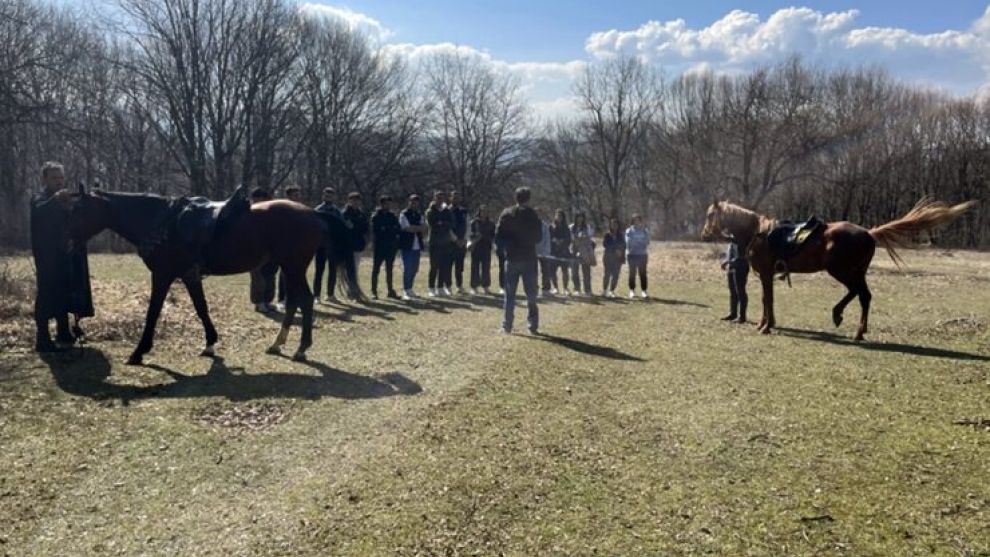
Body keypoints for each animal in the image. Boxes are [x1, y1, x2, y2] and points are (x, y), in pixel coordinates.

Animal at [68, 188, 338, 364]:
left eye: (79, 209)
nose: (68, 240)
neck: (162, 222)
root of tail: (312, 213)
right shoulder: (189, 275)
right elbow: (200, 307)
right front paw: (210, 343)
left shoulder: (164, 275)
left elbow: (154, 312)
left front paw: (139, 351)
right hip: (289, 268)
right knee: (294, 301)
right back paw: (277, 344)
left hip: (293, 266)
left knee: (304, 300)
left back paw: (301, 348)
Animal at [704, 198, 976, 340]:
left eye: (709, 215)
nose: (704, 233)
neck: (758, 234)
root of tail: (869, 233)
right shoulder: (766, 275)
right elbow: (765, 300)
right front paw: (765, 324)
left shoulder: (767, 274)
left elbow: (766, 300)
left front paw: (766, 326)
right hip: (856, 272)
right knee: (865, 296)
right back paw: (858, 330)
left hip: (841, 271)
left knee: (857, 293)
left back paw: (839, 316)